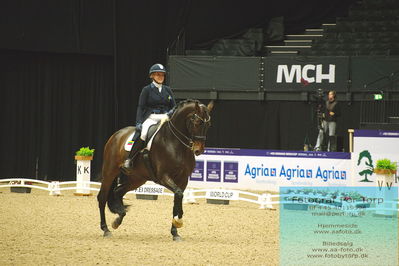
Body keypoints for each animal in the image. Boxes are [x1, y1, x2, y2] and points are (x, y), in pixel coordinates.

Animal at [97, 99, 214, 241]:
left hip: (137, 179)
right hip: (109, 171)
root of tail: (117, 134)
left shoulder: (183, 179)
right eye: (197, 122)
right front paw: (178, 222)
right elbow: (179, 194)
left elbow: (178, 197)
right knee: (102, 197)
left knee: (118, 192)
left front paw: (175, 232)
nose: (198, 150)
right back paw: (105, 229)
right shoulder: (163, 176)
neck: (176, 143)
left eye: (208, 125)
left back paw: (118, 218)